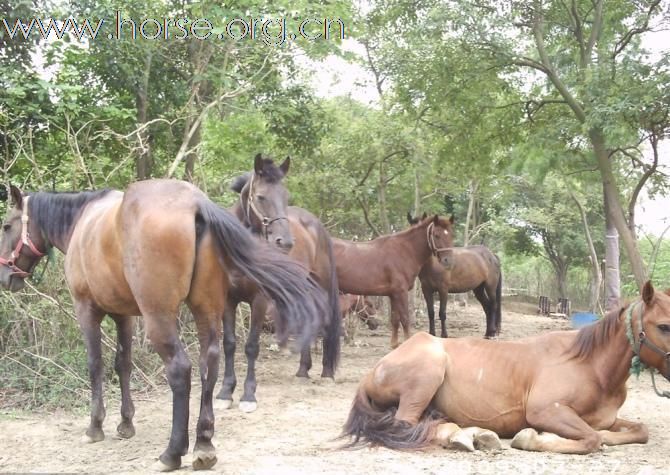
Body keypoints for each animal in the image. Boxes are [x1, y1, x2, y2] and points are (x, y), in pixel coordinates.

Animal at [0, 181, 328, 472]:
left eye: (6, 226)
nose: (5, 276)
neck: (83, 222)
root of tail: (196, 204)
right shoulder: (123, 315)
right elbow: (123, 364)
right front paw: (126, 423)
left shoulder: (87, 310)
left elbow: (96, 365)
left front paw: (96, 426)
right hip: (207, 311)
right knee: (209, 363)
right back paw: (204, 444)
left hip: (159, 319)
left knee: (180, 369)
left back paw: (172, 452)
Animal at [215, 155, 342, 412]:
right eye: (261, 197)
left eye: (286, 196)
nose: (285, 242)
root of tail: (314, 223)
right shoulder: (228, 301)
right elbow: (229, 344)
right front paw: (225, 393)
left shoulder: (259, 300)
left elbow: (251, 347)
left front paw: (248, 396)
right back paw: (303, 370)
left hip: (322, 284)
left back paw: (326, 373)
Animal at [334, 216, 456, 350]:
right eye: (436, 235)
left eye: (451, 235)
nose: (448, 261)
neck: (404, 251)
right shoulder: (401, 292)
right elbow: (405, 319)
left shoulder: (393, 294)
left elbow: (395, 319)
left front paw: (394, 344)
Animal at [344, 280, 670, 456]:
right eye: (664, 326)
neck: (590, 367)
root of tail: (374, 370)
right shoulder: (545, 411)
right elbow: (591, 438)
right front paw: (533, 438)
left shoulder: (607, 419)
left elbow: (636, 431)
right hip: (427, 375)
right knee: (405, 425)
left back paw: (473, 435)